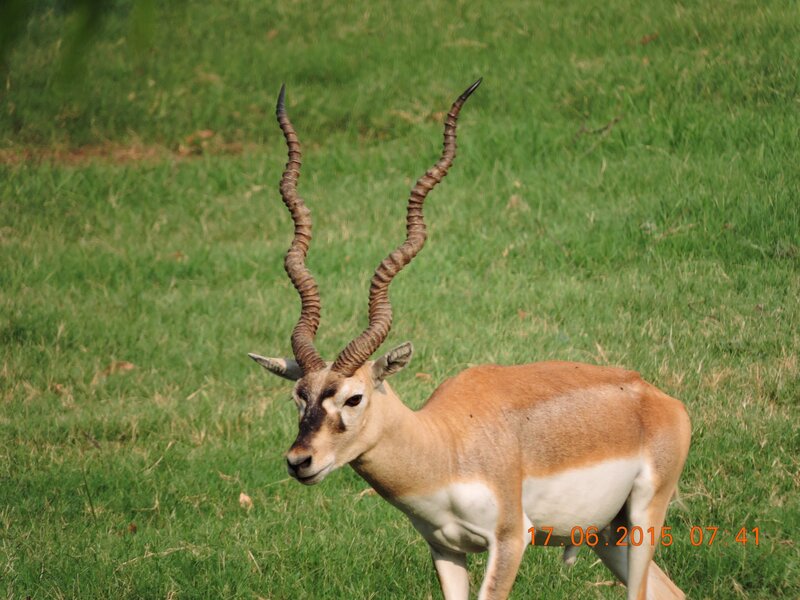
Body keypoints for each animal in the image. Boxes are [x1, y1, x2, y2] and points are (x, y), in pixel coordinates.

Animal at [250, 79, 691, 600]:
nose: (300, 460)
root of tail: (658, 398)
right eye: (298, 397)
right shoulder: (444, 548)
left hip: (644, 516)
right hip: (607, 533)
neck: (445, 445)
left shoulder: (511, 538)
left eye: (354, 397)